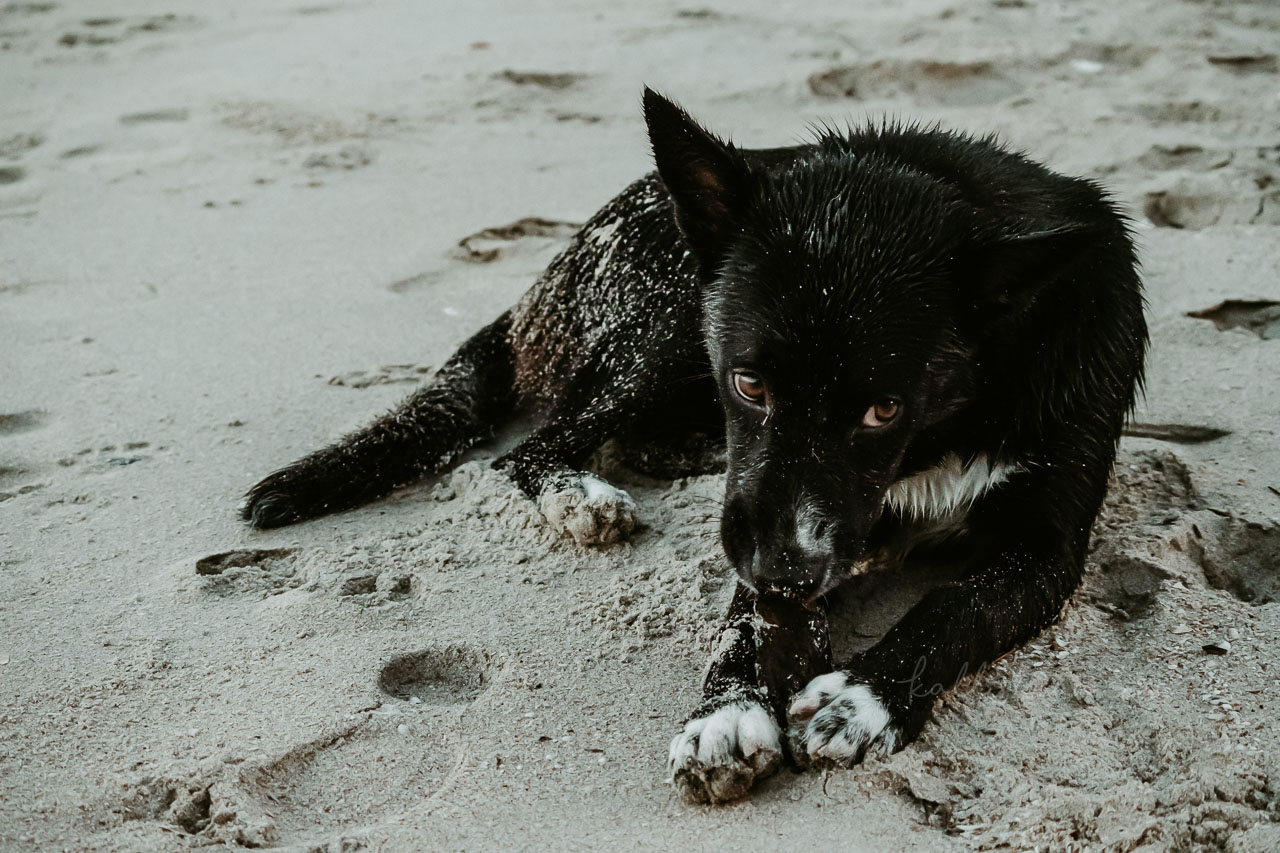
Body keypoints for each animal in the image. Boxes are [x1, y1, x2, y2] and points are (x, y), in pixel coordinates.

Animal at [241, 87, 1152, 804]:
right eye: (749, 383)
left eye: (884, 407)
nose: (787, 572)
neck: (955, 416)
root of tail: (541, 277)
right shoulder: (762, 511)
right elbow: (745, 618)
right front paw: (727, 711)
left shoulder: (1041, 551)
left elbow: (953, 607)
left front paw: (864, 696)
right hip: (672, 319)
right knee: (535, 446)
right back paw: (581, 495)